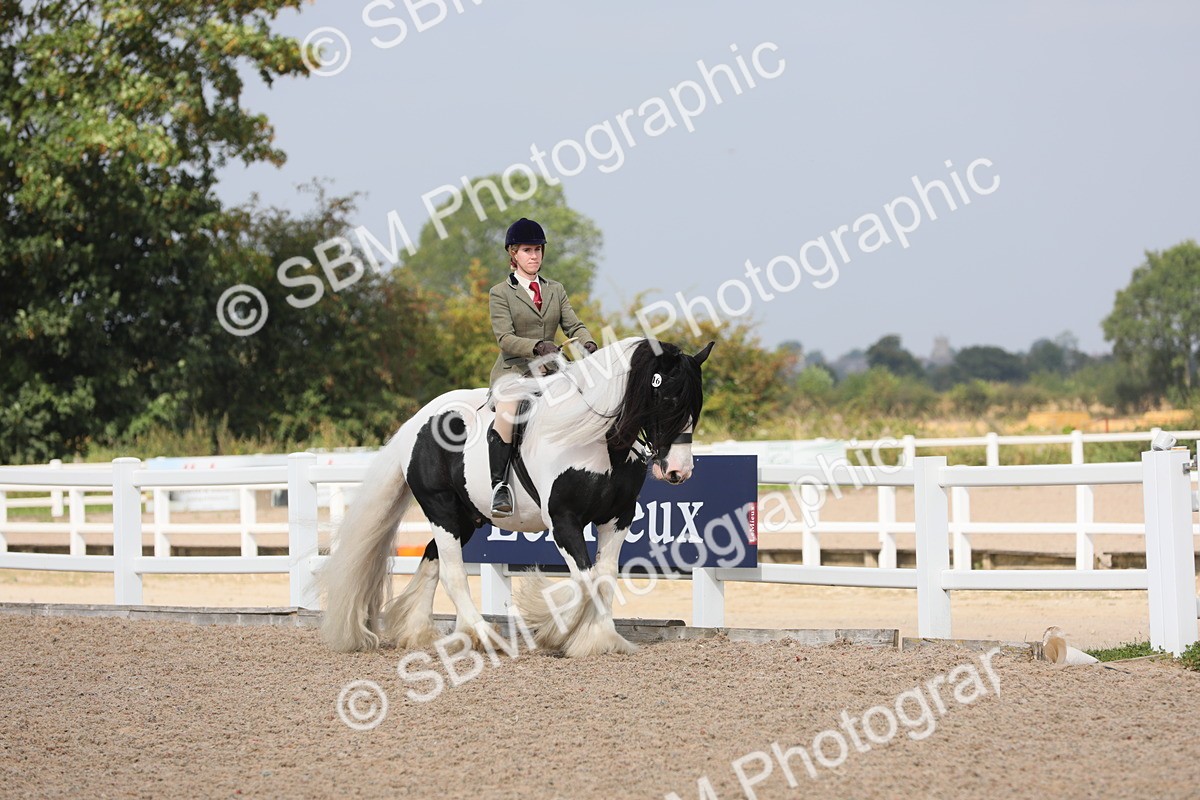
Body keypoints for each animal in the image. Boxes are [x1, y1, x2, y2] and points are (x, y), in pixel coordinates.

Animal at [318, 336, 713, 658]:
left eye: (696, 405)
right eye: (667, 399)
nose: (679, 471)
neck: (597, 440)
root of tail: (416, 422)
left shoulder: (617, 519)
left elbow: (604, 578)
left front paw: (600, 639)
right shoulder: (563, 521)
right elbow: (585, 580)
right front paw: (555, 630)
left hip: (466, 517)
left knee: (432, 560)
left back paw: (425, 631)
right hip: (440, 508)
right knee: (452, 573)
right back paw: (484, 636)